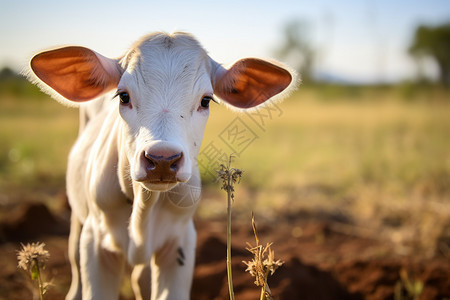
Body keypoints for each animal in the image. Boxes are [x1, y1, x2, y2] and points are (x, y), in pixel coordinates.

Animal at [29, 31, 296, 298]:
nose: (162, 160)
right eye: (123, 96)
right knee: (74, 257)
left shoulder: (181, 243)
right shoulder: (95, 242)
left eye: (206, 100)